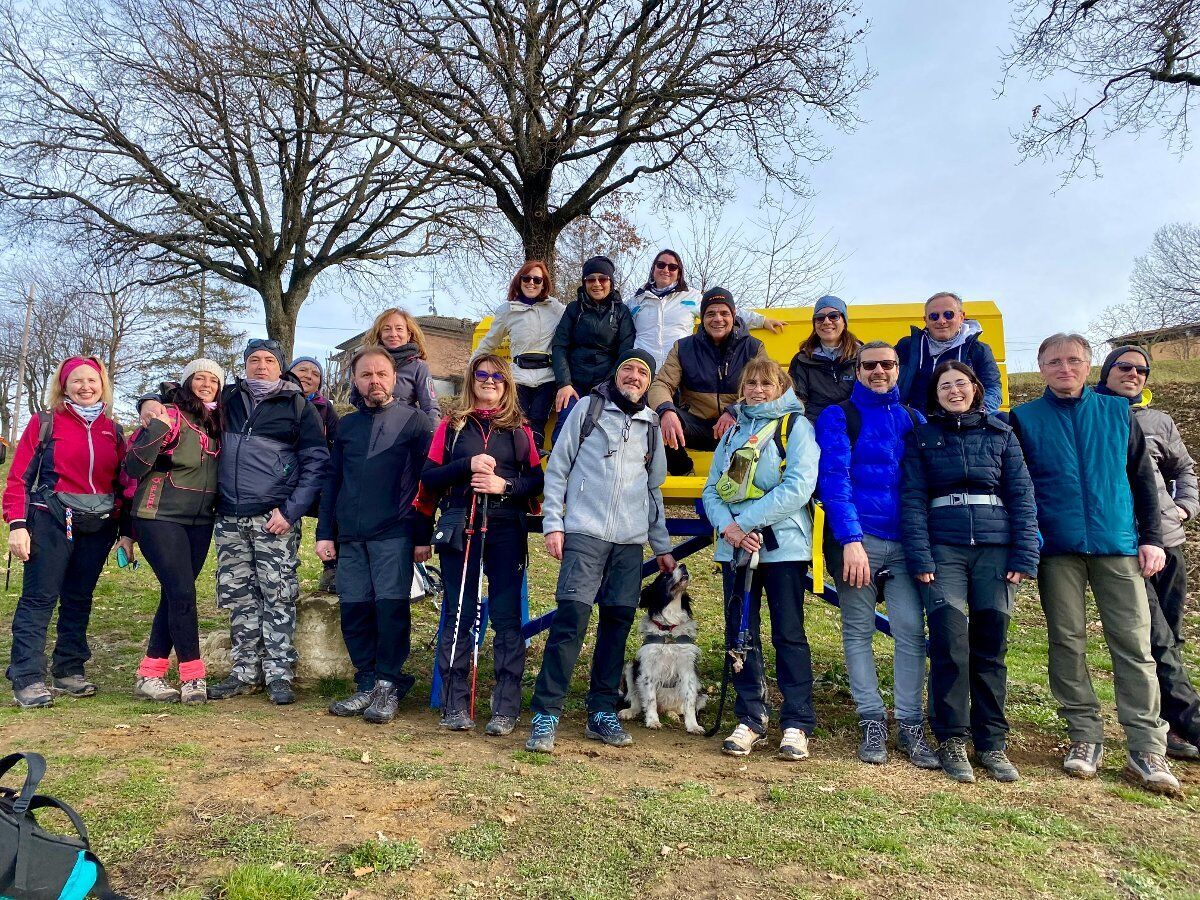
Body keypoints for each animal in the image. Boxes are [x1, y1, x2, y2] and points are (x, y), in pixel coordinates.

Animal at [619, 566, 700, 734]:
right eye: (664, 576)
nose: (683, 565)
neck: (669, 629)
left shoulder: (688, 670)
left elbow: (689, 702)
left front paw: (693, 726)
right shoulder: (648, 669)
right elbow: (650, 700)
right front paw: (653, 721)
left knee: (678, 708)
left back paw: (672, 715)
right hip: (630, 667)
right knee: (636, 701)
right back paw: (629, 712)